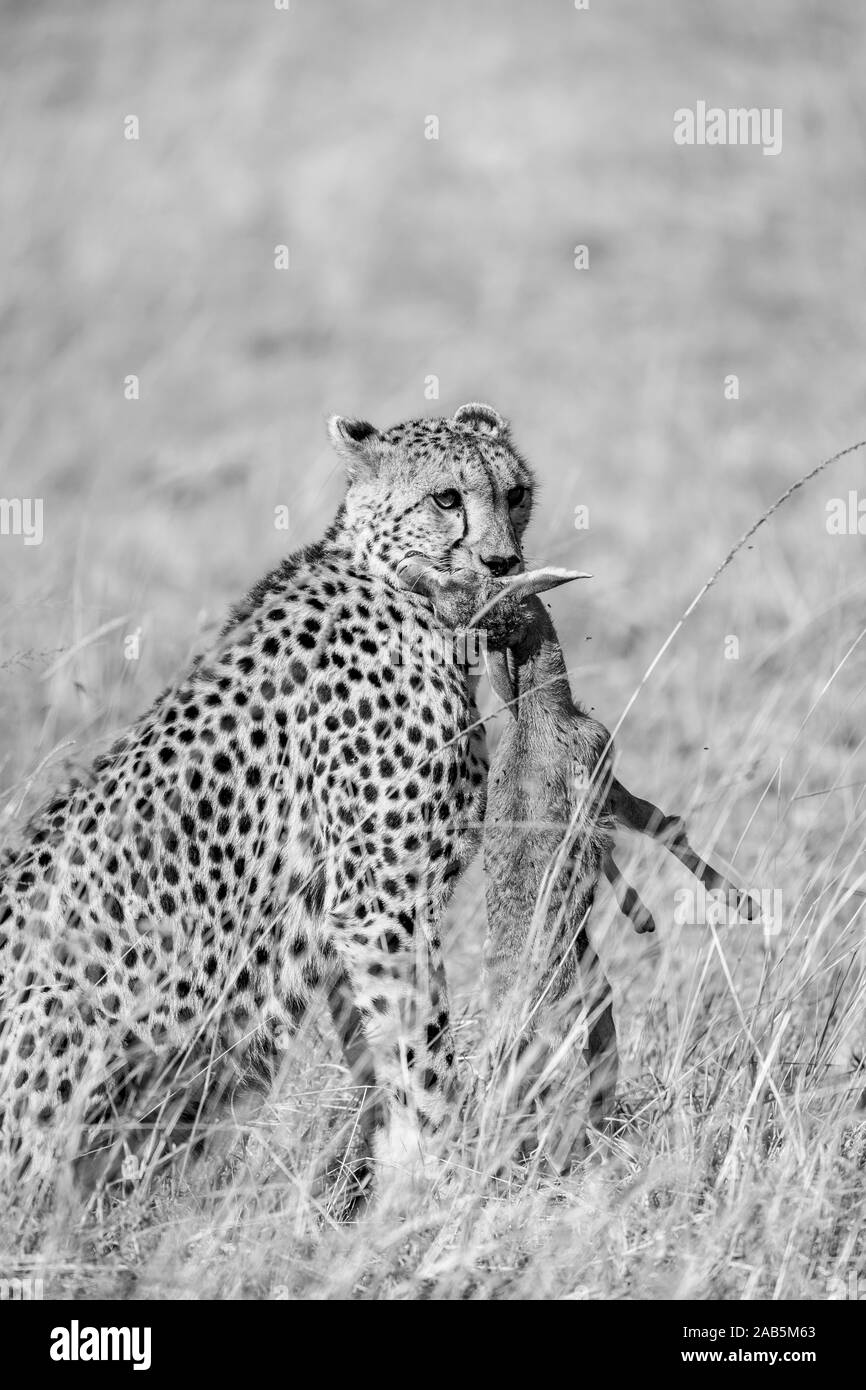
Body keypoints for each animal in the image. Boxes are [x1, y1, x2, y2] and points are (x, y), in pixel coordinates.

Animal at [1, 397, 536, 1189]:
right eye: (447, 499)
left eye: (516, 494)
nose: (503, 563)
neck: (401, 588)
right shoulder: (381, 900)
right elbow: (424, 1053)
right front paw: (448, 1174)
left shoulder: (345, 912)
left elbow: (381, 1052)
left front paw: (388, 1180)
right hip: (72, 1011)